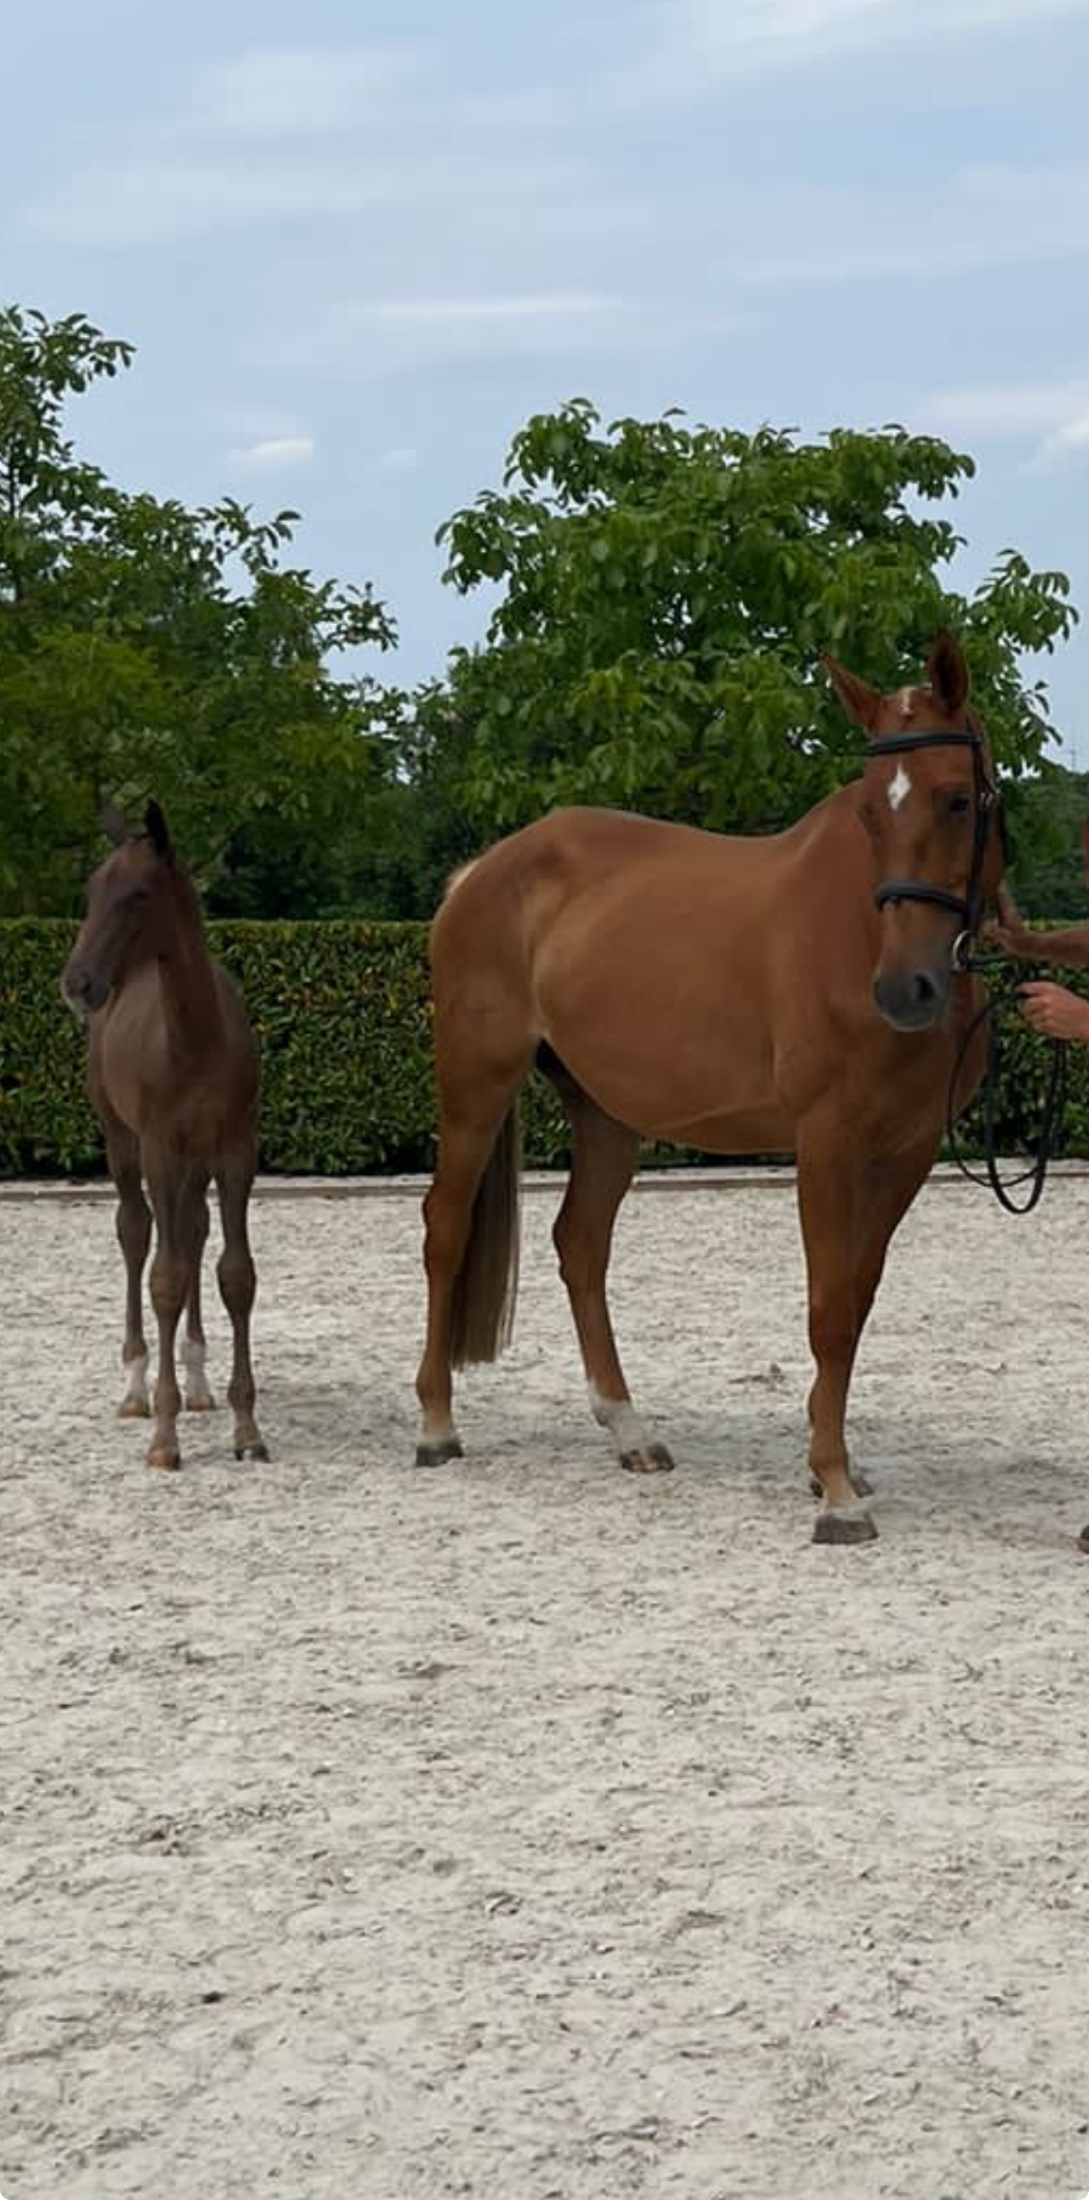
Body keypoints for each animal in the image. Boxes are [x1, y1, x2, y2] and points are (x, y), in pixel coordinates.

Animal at [62, 803, 267, 1473]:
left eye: (138, 894)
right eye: (90, 891)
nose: (77, 983)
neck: (196, 1037)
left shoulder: (234, 1151)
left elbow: (235, 1273)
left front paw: (246, 1428)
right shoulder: (157, 1147)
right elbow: (163, 1277)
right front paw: (164, 1436)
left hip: (193, 1161)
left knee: (191, 1234)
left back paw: (198, 1381)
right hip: (123, 1142)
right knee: (137, 1234)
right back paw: (135, 1386)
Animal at [415, 634, 1005, 1544]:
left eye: (954, 800)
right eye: (870, 814)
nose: (906, 990)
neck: (856, 933)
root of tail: (482, 871)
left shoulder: (905, 1153)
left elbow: (858, 1298)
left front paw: (829, 1464)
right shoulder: (824, 1142)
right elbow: (827, 1307)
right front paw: (835, 1490)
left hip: (605, 1114)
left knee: (580, 1245)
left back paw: (629, 1430)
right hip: (476, 1086)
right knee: (444, 1228)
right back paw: (436, 1426)